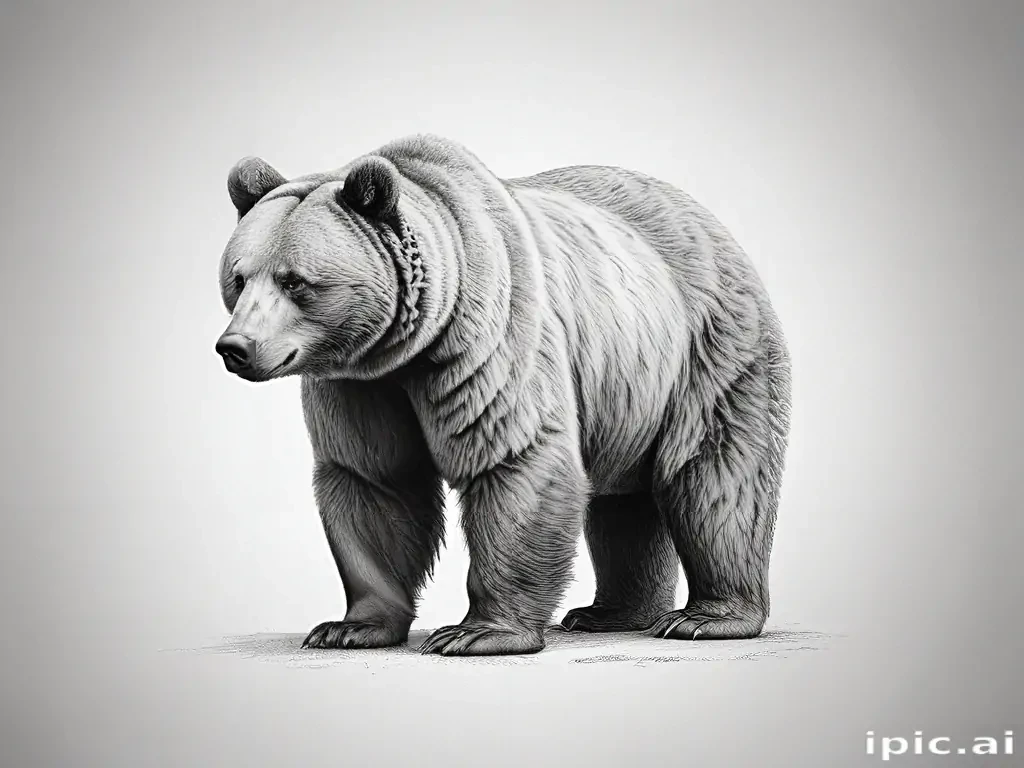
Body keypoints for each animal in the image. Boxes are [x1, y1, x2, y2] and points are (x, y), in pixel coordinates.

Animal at [215, 134, 791, 656]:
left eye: (295, 281)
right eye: (239, 279)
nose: (235, 347)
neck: (410, 345)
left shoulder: (490, 339)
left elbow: (513, 458)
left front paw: (476, 633)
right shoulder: (359, 385)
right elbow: (373, 481)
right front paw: (349, 627)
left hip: (707, 350)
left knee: (714, 478)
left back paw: (707, 618)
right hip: (629, 386)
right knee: (623, 503)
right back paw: (607, 614)